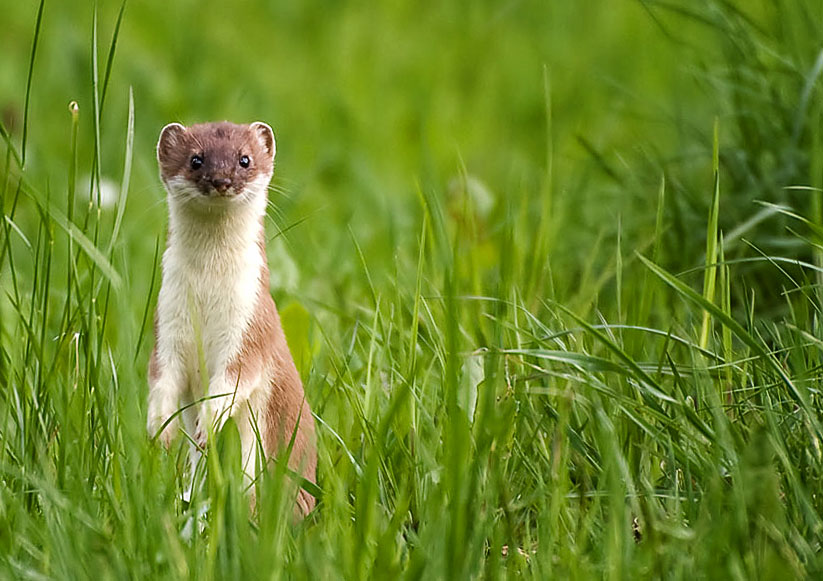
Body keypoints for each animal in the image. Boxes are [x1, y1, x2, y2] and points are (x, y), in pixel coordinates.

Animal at [148, 120, 316, 516]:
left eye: (245, 159)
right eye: (196, 159)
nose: (221, 180)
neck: (207, 294)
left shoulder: (251, 325)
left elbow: (234, 380)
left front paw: (207, 426)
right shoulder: (167, 324)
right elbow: (163, 379)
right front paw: (161, 431)